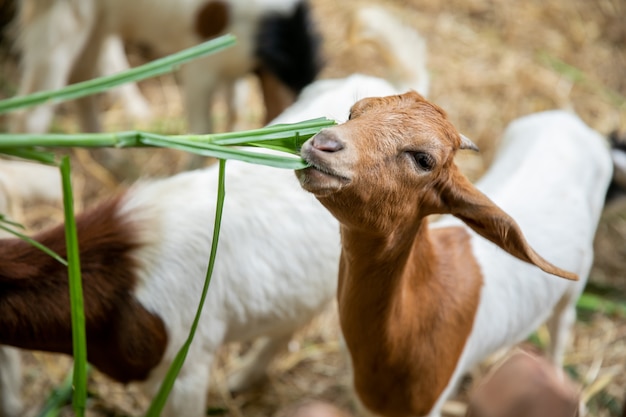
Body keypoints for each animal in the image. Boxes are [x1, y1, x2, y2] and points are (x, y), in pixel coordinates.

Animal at [294, 92, 612, 416]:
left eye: (424, 159)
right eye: (352, 114)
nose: (323, 143)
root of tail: (568, 119)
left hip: (578, 277)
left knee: (562, 323)